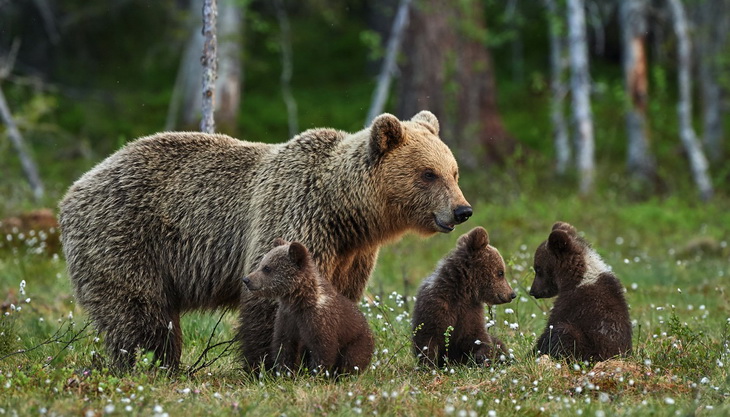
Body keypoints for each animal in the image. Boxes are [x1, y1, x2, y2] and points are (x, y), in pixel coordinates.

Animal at [245, 239, 372, 376]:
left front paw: (317, 374)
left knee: (351, 360)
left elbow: (323, 350)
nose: (246, 279)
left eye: (267, 268)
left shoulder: (319, 321)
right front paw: (284, 373)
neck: (299, 301)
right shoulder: (286, 318)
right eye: (261, 264)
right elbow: (284, 347)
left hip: (357, 342)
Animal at [410, 226, 516, 366]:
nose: (512, 294)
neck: (462, 292)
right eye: (500, 272)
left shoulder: (470, 312)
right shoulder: (436, 307)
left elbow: (478, 337)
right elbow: (427, 340)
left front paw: (482, 357)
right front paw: (428, 364)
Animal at [528, 221, 632, 360]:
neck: (578, 278)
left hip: (589, 350)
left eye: (538, 268)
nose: (533, 291)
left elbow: (552, 326)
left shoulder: (574, 304)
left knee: (564, 332)